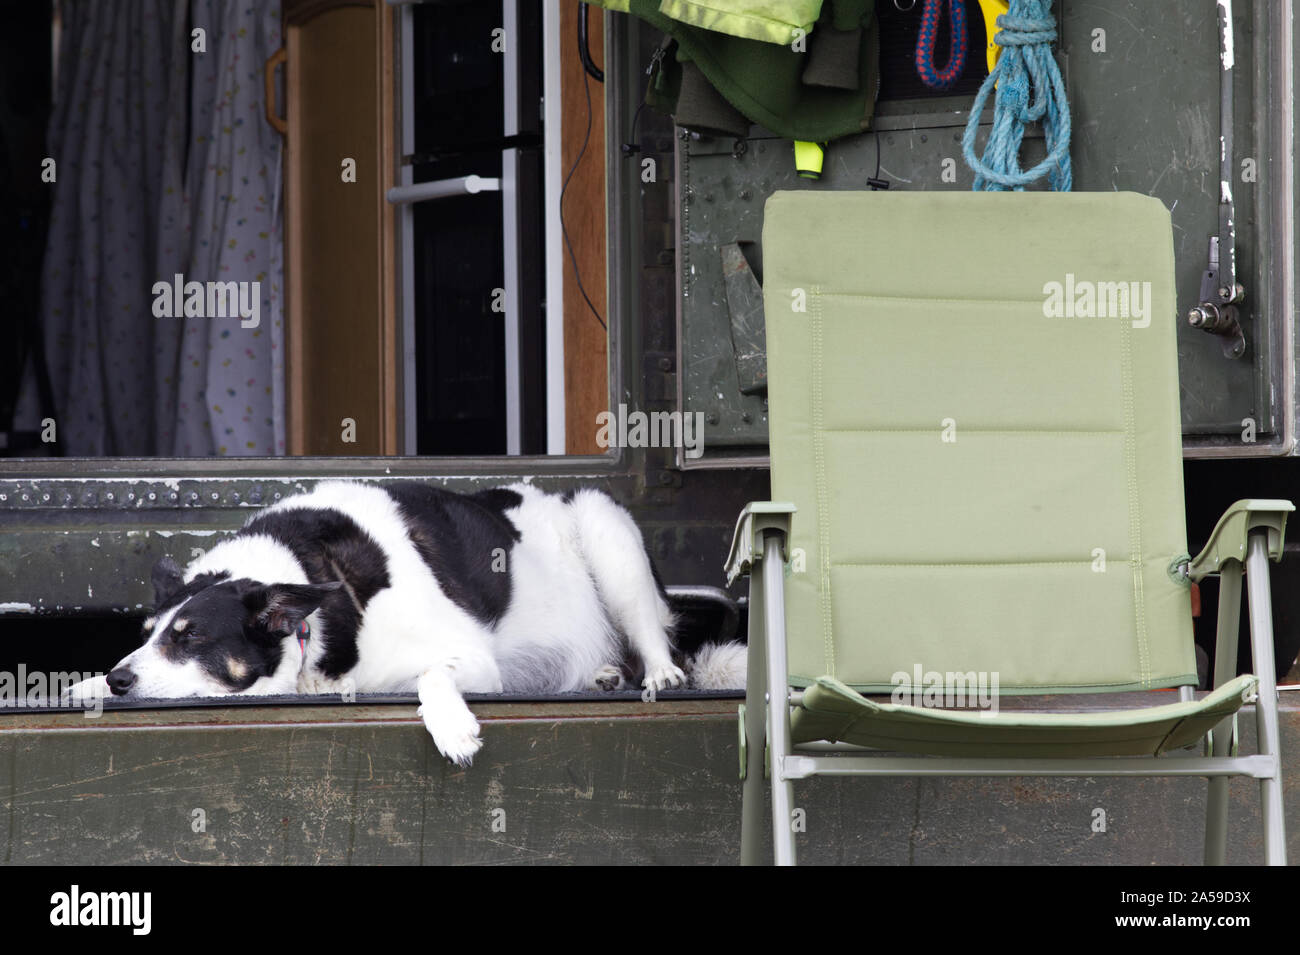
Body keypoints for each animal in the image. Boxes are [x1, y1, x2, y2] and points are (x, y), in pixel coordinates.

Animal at [68, 480, 743, 764]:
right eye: (151, 635)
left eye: (193, 638)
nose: (123, 680)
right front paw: (85, 684)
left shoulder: (471, 659)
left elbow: (429, 677)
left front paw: (452, 728)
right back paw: (602, 675)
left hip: (606, 527)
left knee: (654, 638)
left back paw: (659, 673)